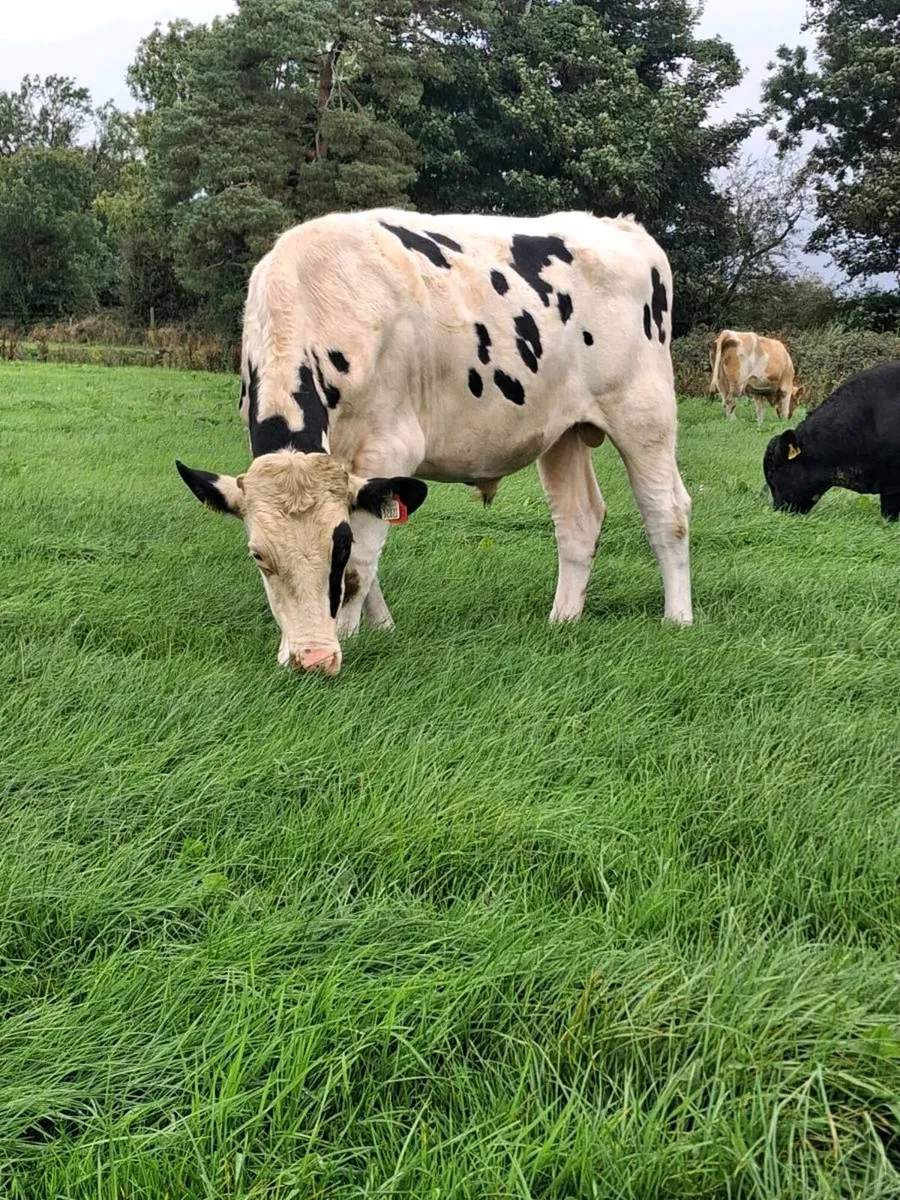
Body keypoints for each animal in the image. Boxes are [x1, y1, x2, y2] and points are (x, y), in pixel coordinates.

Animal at [175, 208, 693, 675]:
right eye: (258, 555)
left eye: (337, 546)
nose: (313, 660)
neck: (312, 292)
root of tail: (620, 225)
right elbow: (371, 560)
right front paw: (380, 628)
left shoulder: (388, 449)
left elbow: (361, 566)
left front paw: (348, 635)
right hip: (560, 432)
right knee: (578, 520)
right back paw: (563, 620)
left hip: (644, 414)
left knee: (667, 511)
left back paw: (678, 619)